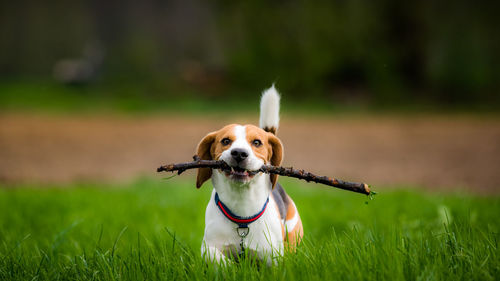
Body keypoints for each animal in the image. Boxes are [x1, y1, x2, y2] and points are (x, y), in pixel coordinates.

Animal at [195, 85, 302, 262]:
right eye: (225, 141)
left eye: (257, 142)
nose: (239, 153)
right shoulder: (207, 247)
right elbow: (218, 259)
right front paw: (229, 266)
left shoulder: (273, 255)